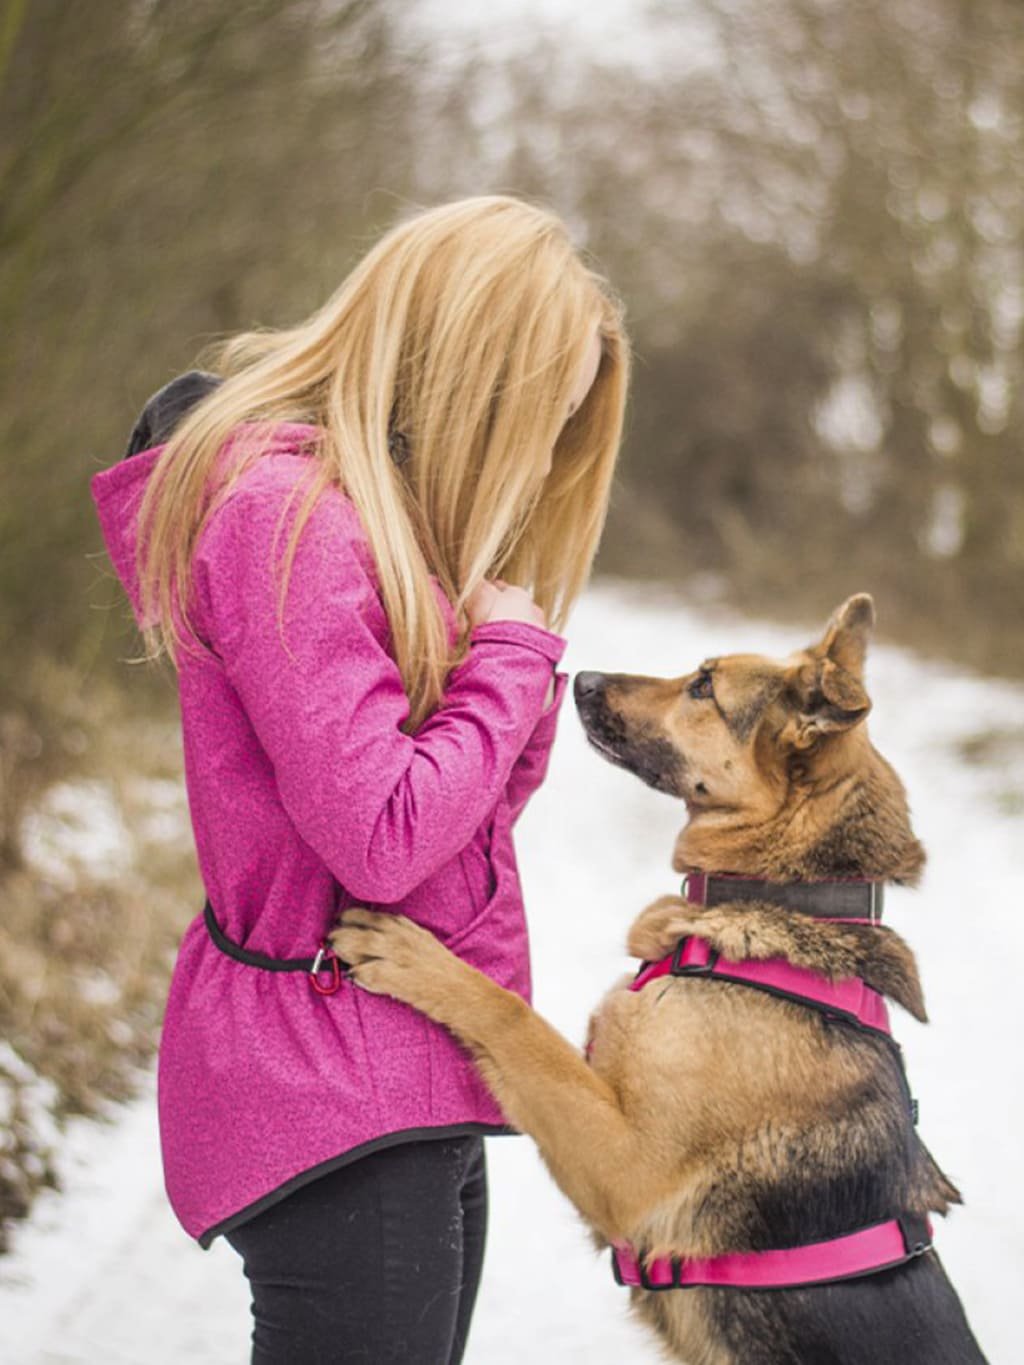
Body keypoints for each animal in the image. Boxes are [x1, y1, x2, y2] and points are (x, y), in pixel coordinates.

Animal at [333, 597, 988, 1365]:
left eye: (704, 687)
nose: (581, 677)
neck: (776, 902)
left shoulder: (628, 1172)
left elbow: (516, 1021)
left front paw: (419, 957)